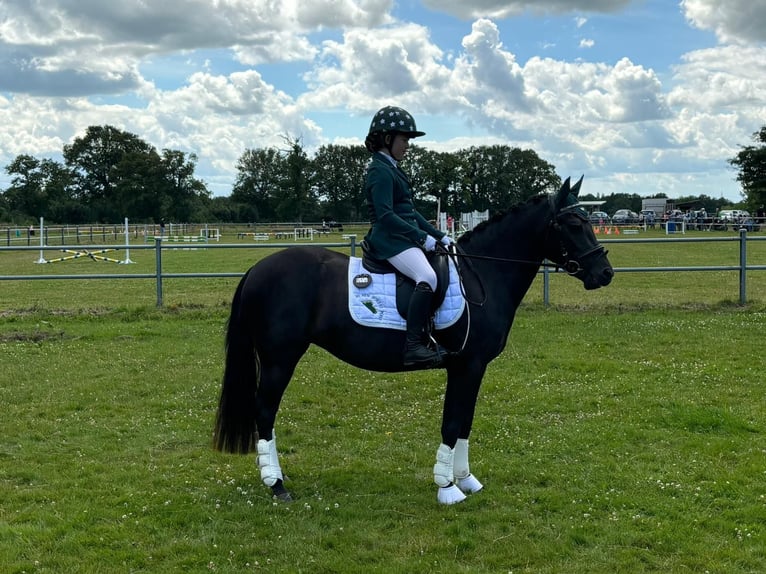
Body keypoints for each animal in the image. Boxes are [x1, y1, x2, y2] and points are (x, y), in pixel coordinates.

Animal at [216, 178, 616, 506]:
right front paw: (447, 488)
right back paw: (277, 484)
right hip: (279, 359)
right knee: (265, 412)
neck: (483, 275)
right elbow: (452, 423)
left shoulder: (474, 369)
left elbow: (466, 421)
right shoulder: (466, 365)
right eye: (574, 224)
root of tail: (257, 269)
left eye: (589, 221)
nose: (605, 273)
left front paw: (466, 480)